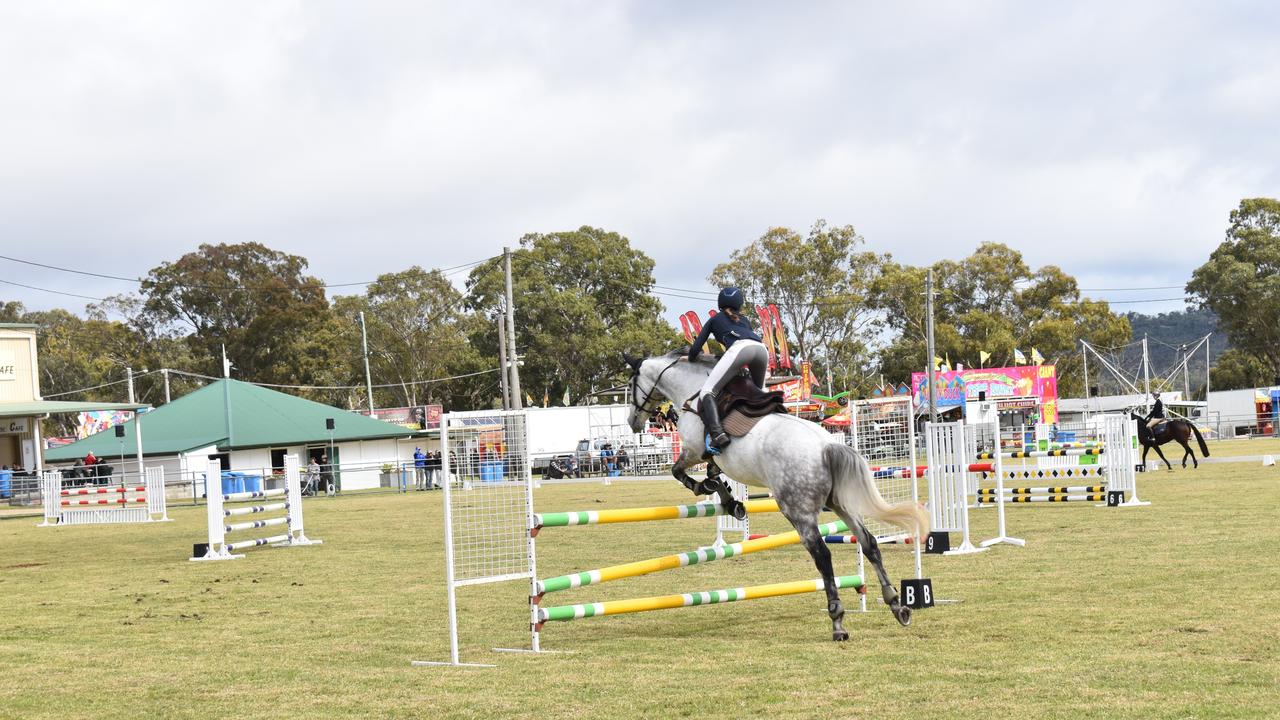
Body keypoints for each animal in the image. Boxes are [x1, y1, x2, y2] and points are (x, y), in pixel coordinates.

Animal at [624, 351, 926, 635]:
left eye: (631, 384)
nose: (633, 422)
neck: (693, 389)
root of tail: (826, 445)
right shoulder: (708, 457)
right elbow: (713, 475)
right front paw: (730, 500)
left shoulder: (694, 450)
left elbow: (681, 471)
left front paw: (711, 490)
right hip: (840, 503)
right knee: (869, 543)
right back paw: (897, 605)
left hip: (797, 510)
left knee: (822, 554)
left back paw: (838, 621)